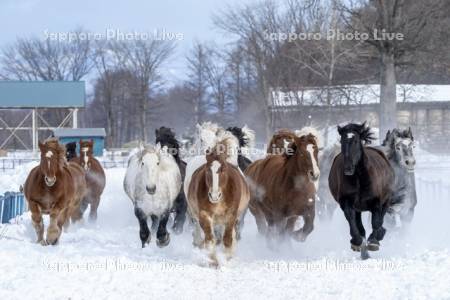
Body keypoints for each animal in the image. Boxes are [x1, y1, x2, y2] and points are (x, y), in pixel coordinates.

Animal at [328, 123, 396, 258]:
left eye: (355, 141)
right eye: (342, 141)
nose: (348, 168)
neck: (359, 178)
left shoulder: (376, 201)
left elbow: (376, 221)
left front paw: (374, 241)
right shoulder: (347, 202)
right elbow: (352, 221)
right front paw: (356, 241)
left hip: (386, 199)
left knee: (381, 217)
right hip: (358, 208)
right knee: (360, 226)